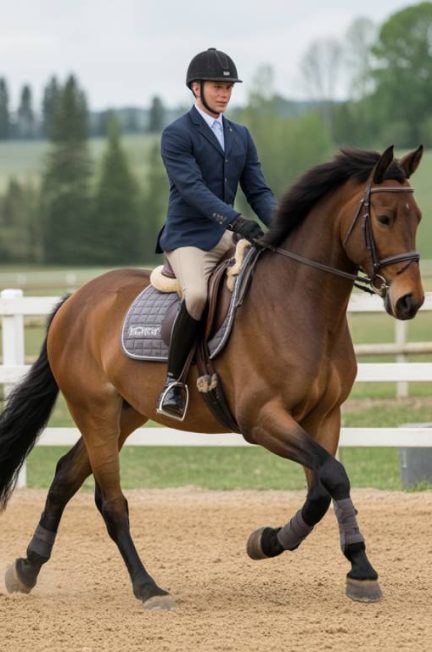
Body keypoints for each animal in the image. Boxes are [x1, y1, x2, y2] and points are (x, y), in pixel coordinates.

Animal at [0, 145, 424, 611]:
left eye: (417, 217)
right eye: (384, 218)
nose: (410, 301)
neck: (302, 305)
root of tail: (74, 301)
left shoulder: (325, 416)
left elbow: (323, 487)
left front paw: (301, 550)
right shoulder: (262, 419)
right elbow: (331, 476)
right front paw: (295, 548)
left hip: (125, 414)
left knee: (65, 475)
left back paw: (27, 568)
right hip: (95, 409)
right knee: (110, 501)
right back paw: (148, 588)